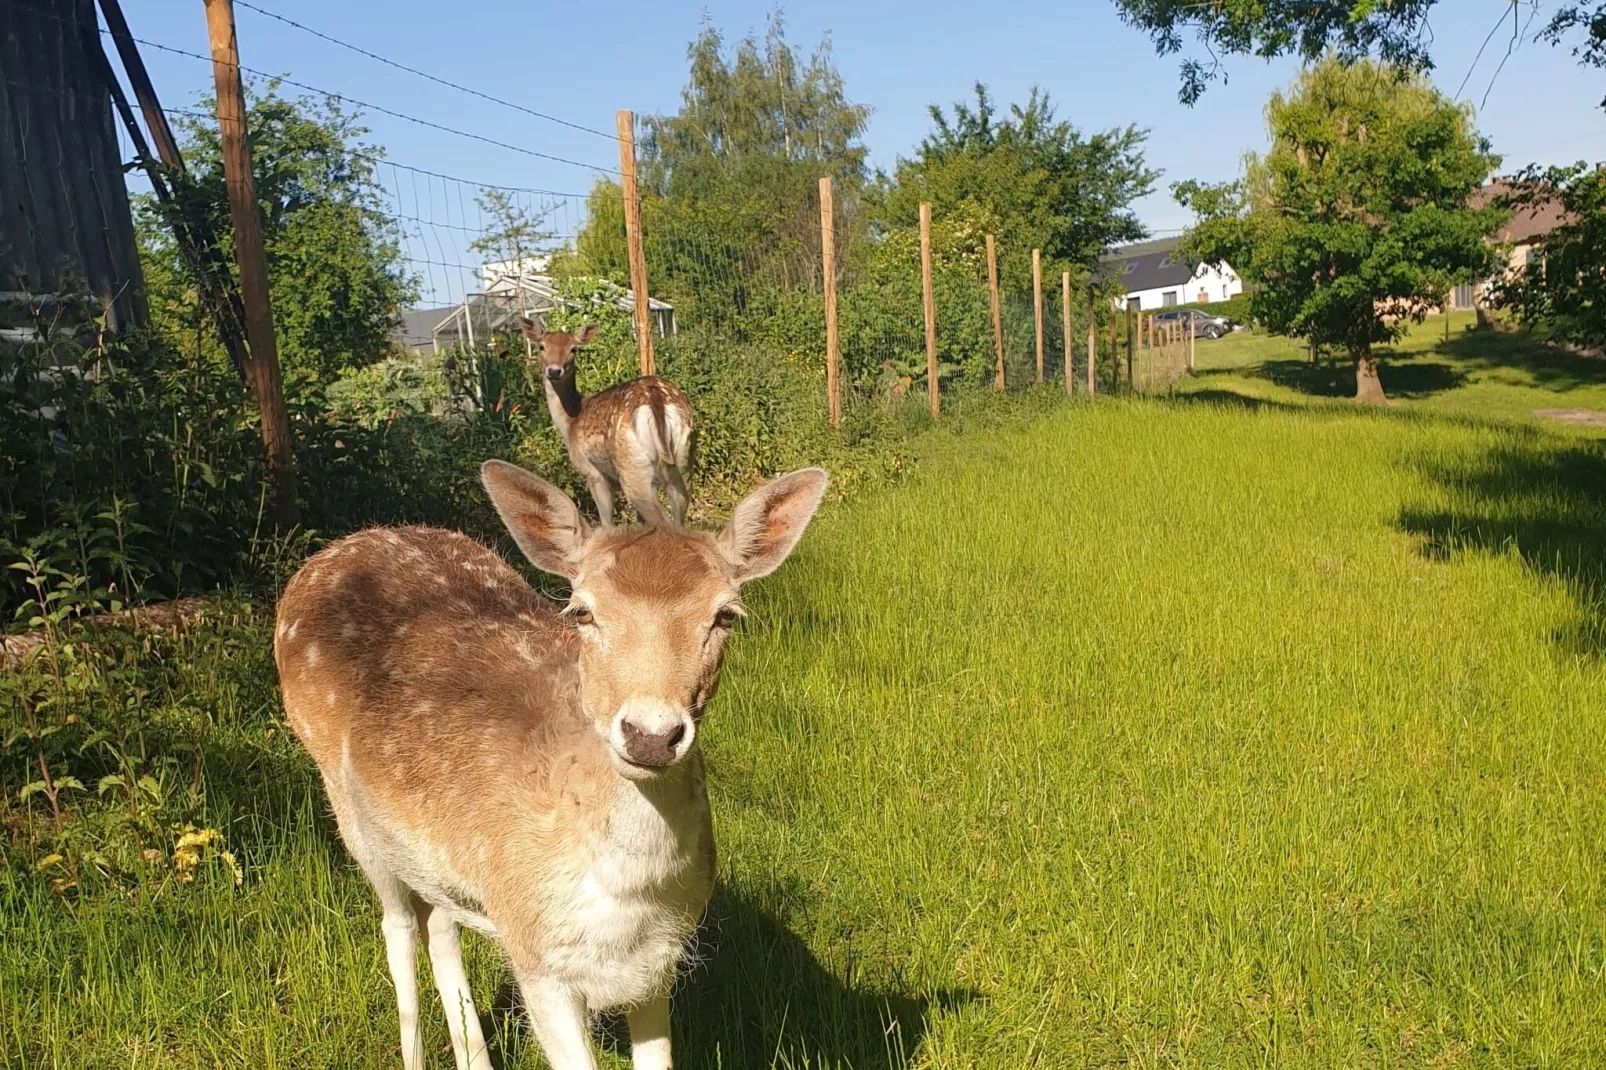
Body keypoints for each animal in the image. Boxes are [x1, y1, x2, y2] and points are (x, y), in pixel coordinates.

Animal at [276, 459, 828, 1066]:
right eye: (582, 611)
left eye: (726, 614)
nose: (650, 736)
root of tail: (330, 553)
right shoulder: (538, 955)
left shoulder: (657, 959)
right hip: (352, 815)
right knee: (397, 926)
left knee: (439, 923)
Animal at [526, 321, 697, 530]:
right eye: (542, 346)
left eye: (573, 349)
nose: (554, 370)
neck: (570, 424)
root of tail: (656, 400)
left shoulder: (592, 472)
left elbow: (607, 523)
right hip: (683, 460)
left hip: (632, 466)